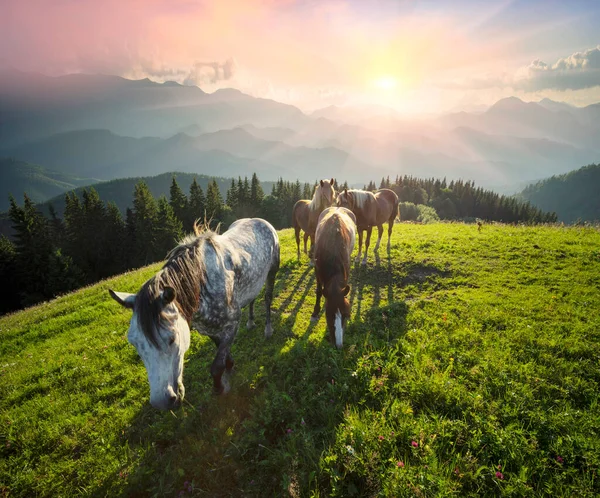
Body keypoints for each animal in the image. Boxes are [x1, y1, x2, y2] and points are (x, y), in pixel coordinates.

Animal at [109, 218, 278, 408]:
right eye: (134, 343)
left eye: (172, 339)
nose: (162, 402)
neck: (202, 285)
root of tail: (260, 221)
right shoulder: (209, 329)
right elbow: (221, 351)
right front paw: (230, 365)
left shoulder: (232, 324)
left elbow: (216, 366)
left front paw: (219, 388)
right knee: (252, 298)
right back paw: (250, 322)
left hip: (272, 271)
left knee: (267, 298)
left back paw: (268, 330)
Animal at [310, 206, 356, 350]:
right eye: (328, 315)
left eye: (346, 315)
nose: (339, 345)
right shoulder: (317, 270)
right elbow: (319, 291)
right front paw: (315, 312)